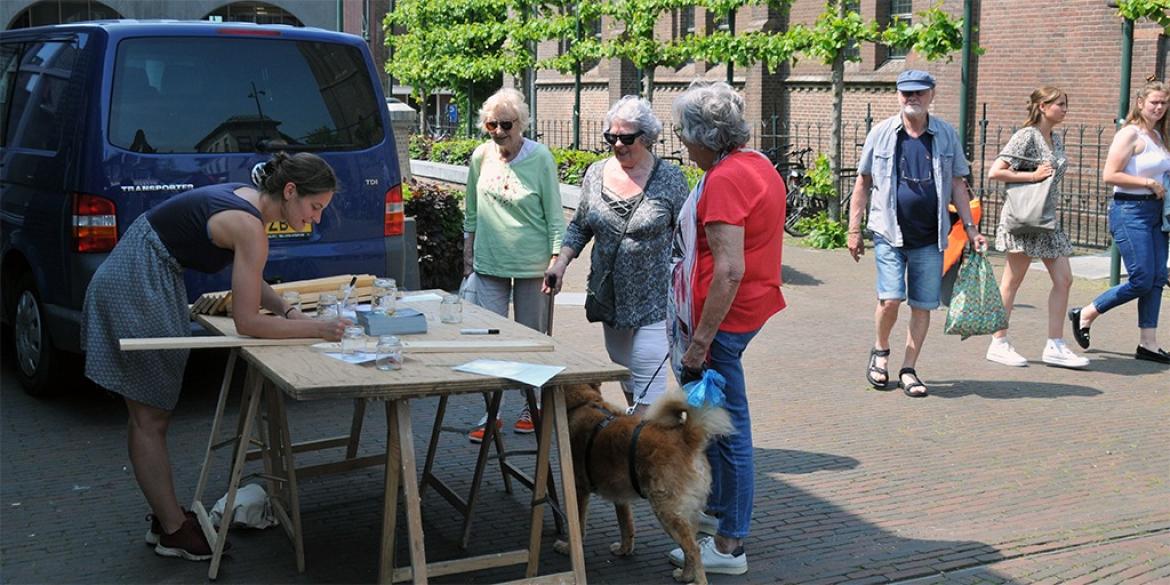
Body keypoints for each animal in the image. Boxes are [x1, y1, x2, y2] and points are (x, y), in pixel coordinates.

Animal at [549, 383, 730, 585]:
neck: (584, 403)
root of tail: (687, 438)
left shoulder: (578, 489)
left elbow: (578, 526)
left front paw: (567, 547)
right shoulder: (619, 495)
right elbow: (626, 525)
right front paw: (624, 549)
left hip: (667, 512)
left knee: (693, 550)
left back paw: (694, 578)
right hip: (685, 514)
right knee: (689, 548)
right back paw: (685, 575)